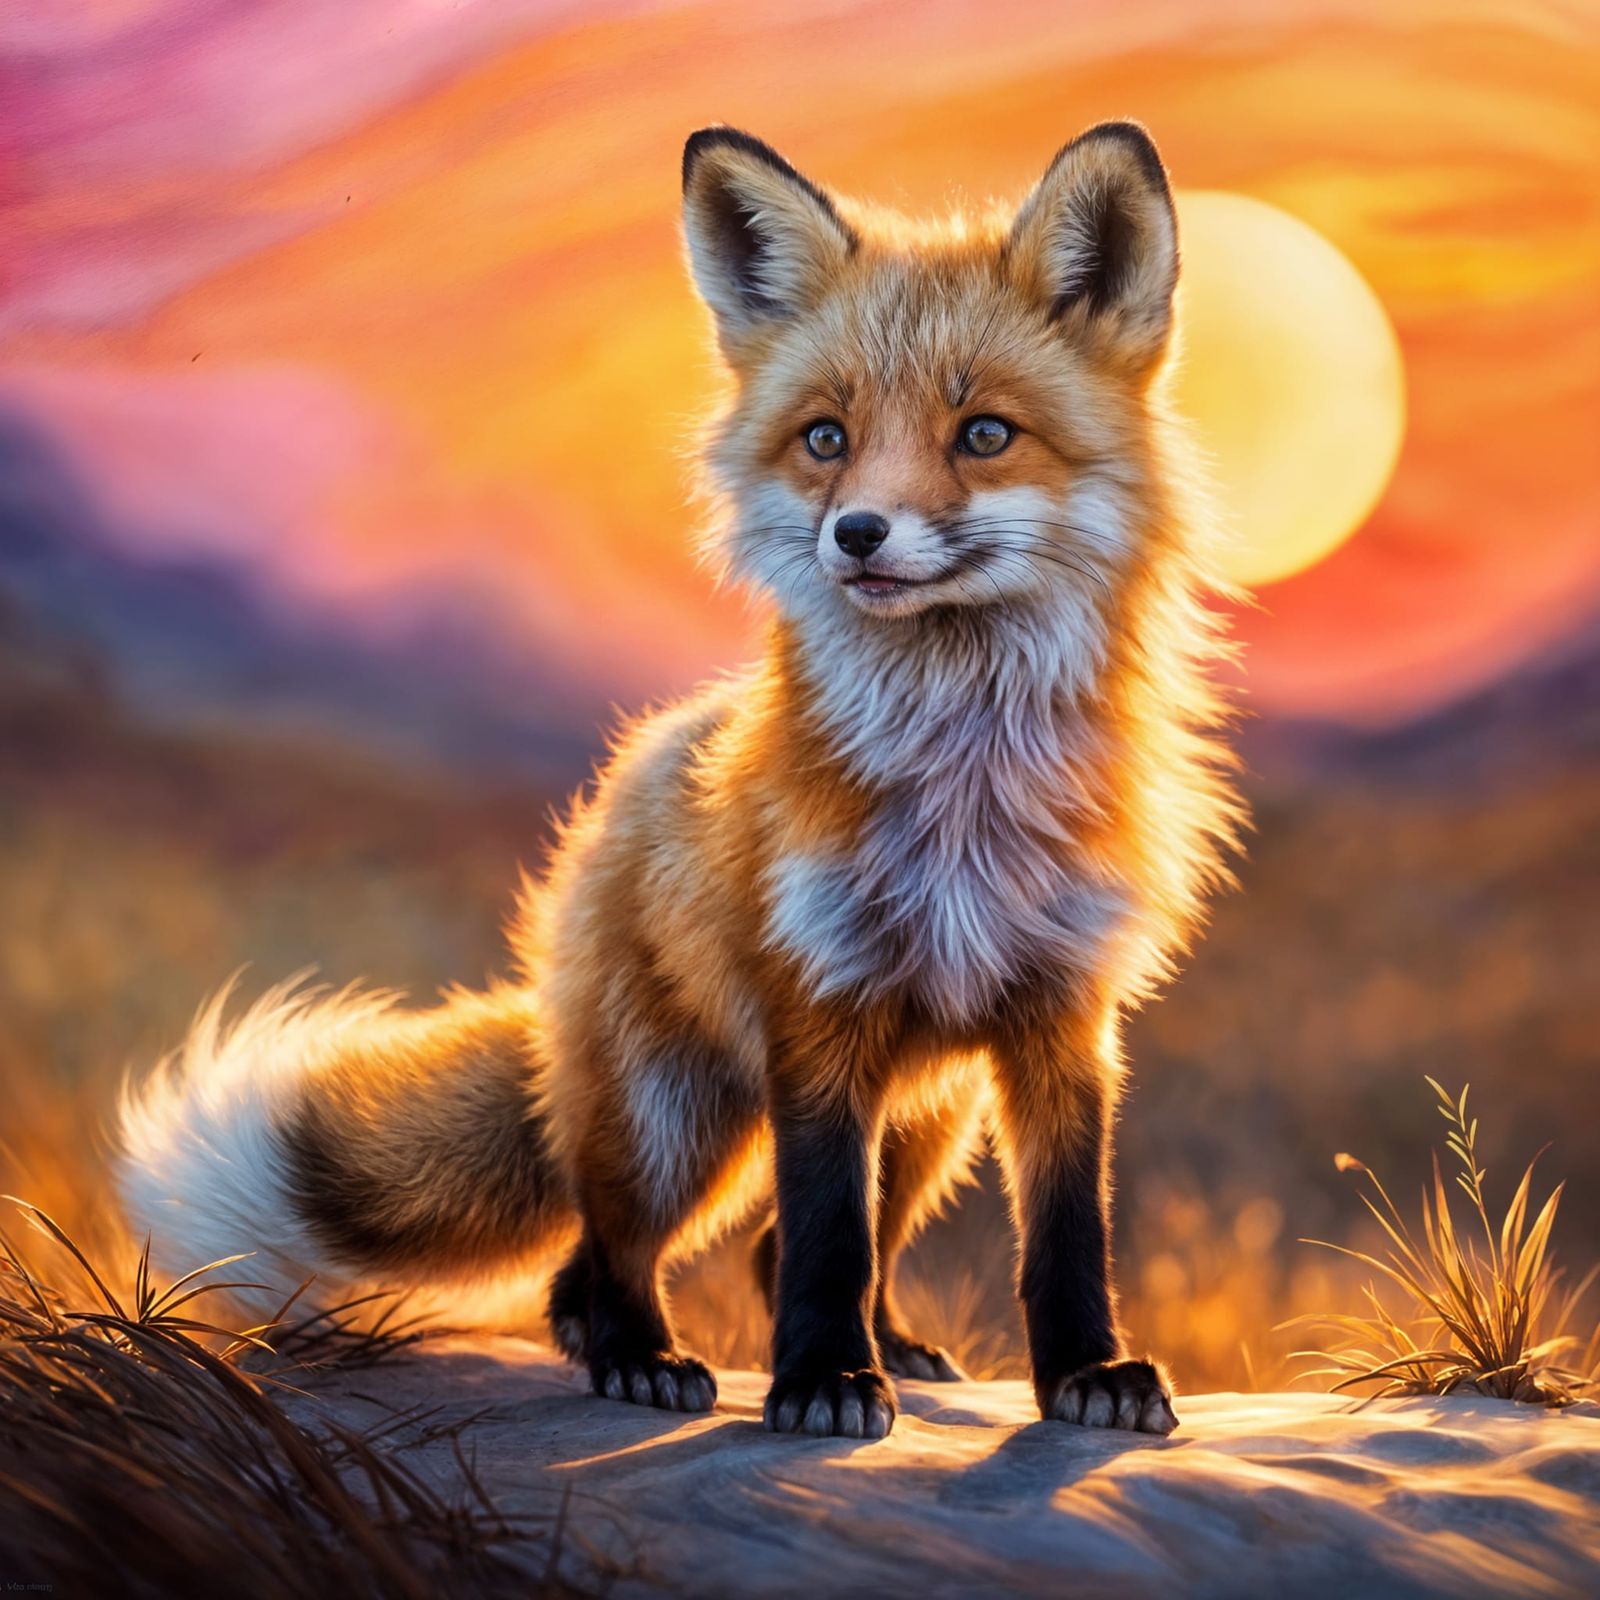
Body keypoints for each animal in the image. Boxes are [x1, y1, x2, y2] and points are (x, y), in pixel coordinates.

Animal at [120, 120, 1240, 1441]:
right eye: (825, 437)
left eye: (983, 433)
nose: (858, 532)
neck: (958, 787)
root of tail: (613, 793)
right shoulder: (819, 1012)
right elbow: (824, 1234)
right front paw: (821, 1381)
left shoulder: (1063, 1018)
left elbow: (1062, 1233)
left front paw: (1083, 1373)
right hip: (677, 1124)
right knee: (604, 1253)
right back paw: (638, 1354)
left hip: (930, 1118)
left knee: (762, 1249)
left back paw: (894, 1348)